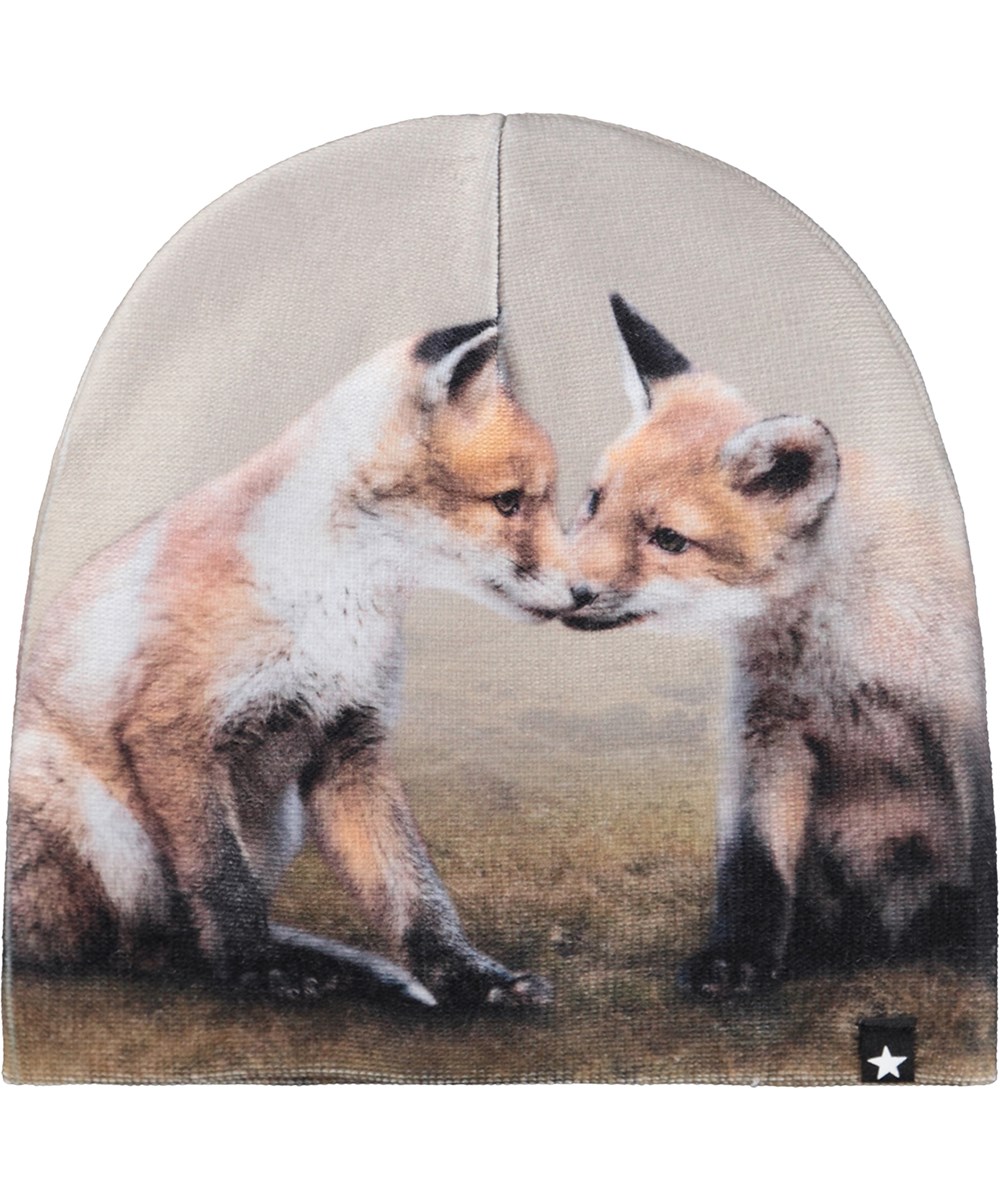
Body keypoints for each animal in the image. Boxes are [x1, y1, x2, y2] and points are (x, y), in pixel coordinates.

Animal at [8, 318, 580, 1008]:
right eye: (508, 503)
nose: (585, 593)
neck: (336, 605)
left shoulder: (349, 745)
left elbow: (412, 890)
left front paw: (467, 976)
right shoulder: (171, 732)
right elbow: (223, 880)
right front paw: (256, 967)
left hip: (274, 821)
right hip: (85, 809)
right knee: (141, 947)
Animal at [565, 293, 996, 998]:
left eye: (669, 539)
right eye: (594, 502)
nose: (564, 590)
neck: (836, 654)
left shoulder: (960, 720)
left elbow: (987, 847)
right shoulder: (767, 731)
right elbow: (754, 861)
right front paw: (737, 957)